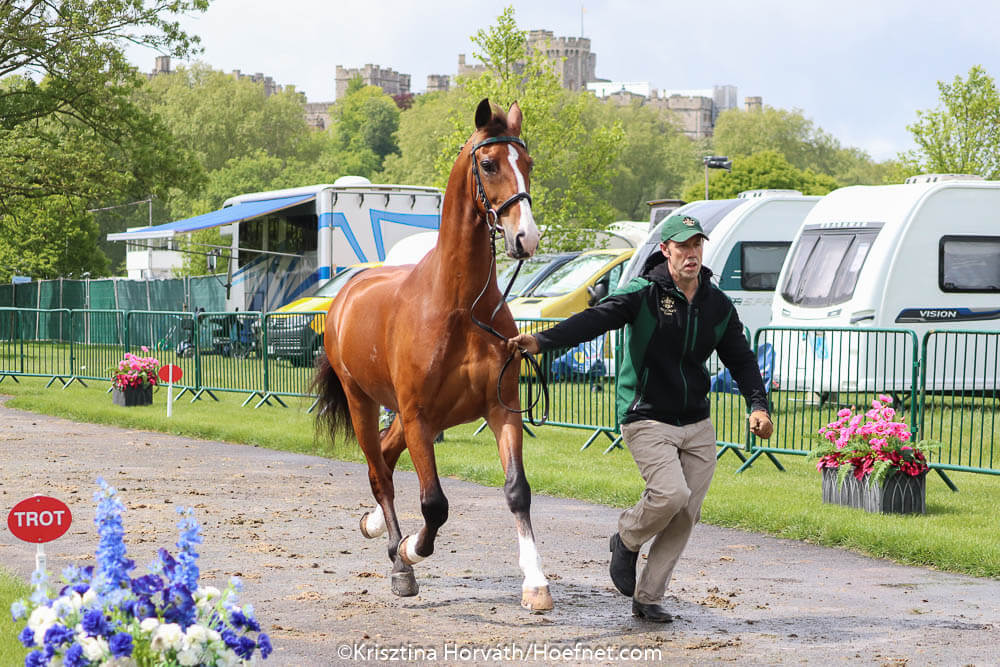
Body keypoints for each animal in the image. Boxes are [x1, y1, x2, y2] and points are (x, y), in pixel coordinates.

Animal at [313, 99, 553, 611]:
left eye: (528, 163)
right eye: (489, 164)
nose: (526, 238)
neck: (461, 307)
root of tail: (345, 295)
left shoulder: (501, 410)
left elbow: (517, 491)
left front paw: (536, 583)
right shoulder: (419, 416)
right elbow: (434, 505)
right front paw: (408, 550)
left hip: (412, 418)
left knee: (383, 459)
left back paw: (373, 524)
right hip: (367, 404)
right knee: (380, 472)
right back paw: (398, 560)